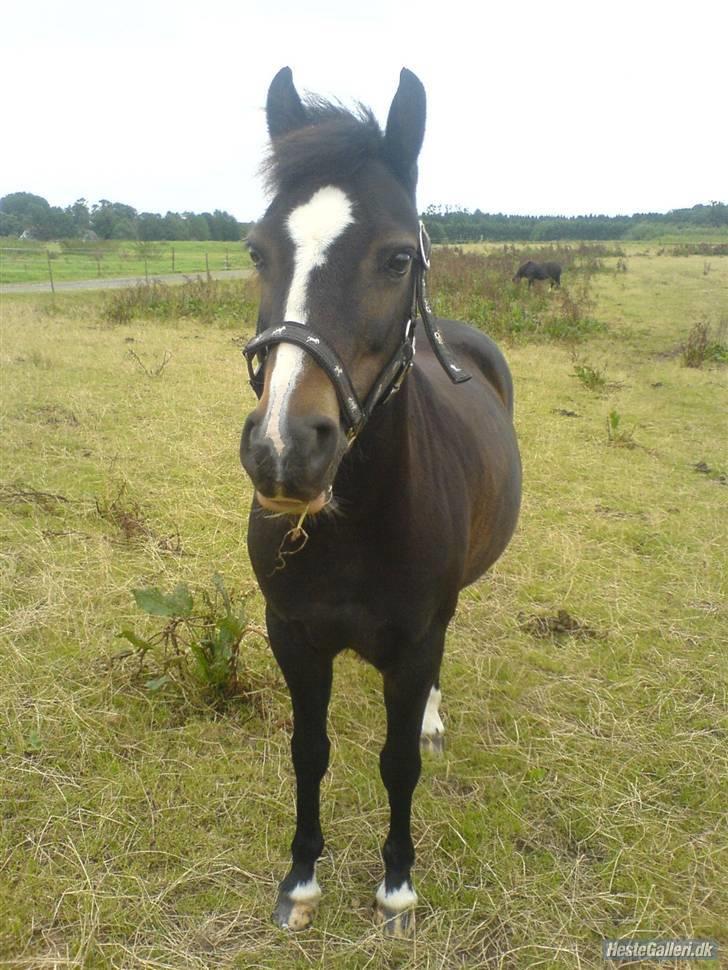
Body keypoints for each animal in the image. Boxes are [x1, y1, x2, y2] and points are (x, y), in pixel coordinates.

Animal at [239, 66, 521, 938]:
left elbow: (395, 762)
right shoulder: (293, 636)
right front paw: (300, 879)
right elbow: (310, 751)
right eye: (258, 250)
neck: (357, 524)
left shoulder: (416, 638)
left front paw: (396, 885)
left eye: (398, 258)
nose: (285, 449)